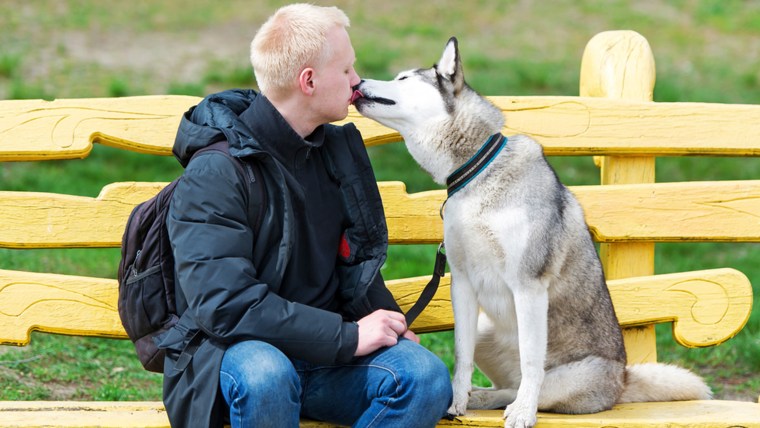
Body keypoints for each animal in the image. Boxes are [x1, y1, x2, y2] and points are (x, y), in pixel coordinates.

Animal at [354, 37, 712, 428]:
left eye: (403, 78)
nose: (358, 81)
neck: (478, 171)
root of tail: (622, 381)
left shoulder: (528, 285)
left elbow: (531, 362)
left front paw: (523, 413)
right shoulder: (461, 282)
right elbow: (462, 355)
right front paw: (457, 401)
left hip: (570, 377)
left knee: (529, 386)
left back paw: (513, 403)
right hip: (485, 327)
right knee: (507, 384)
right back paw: (480, 396)